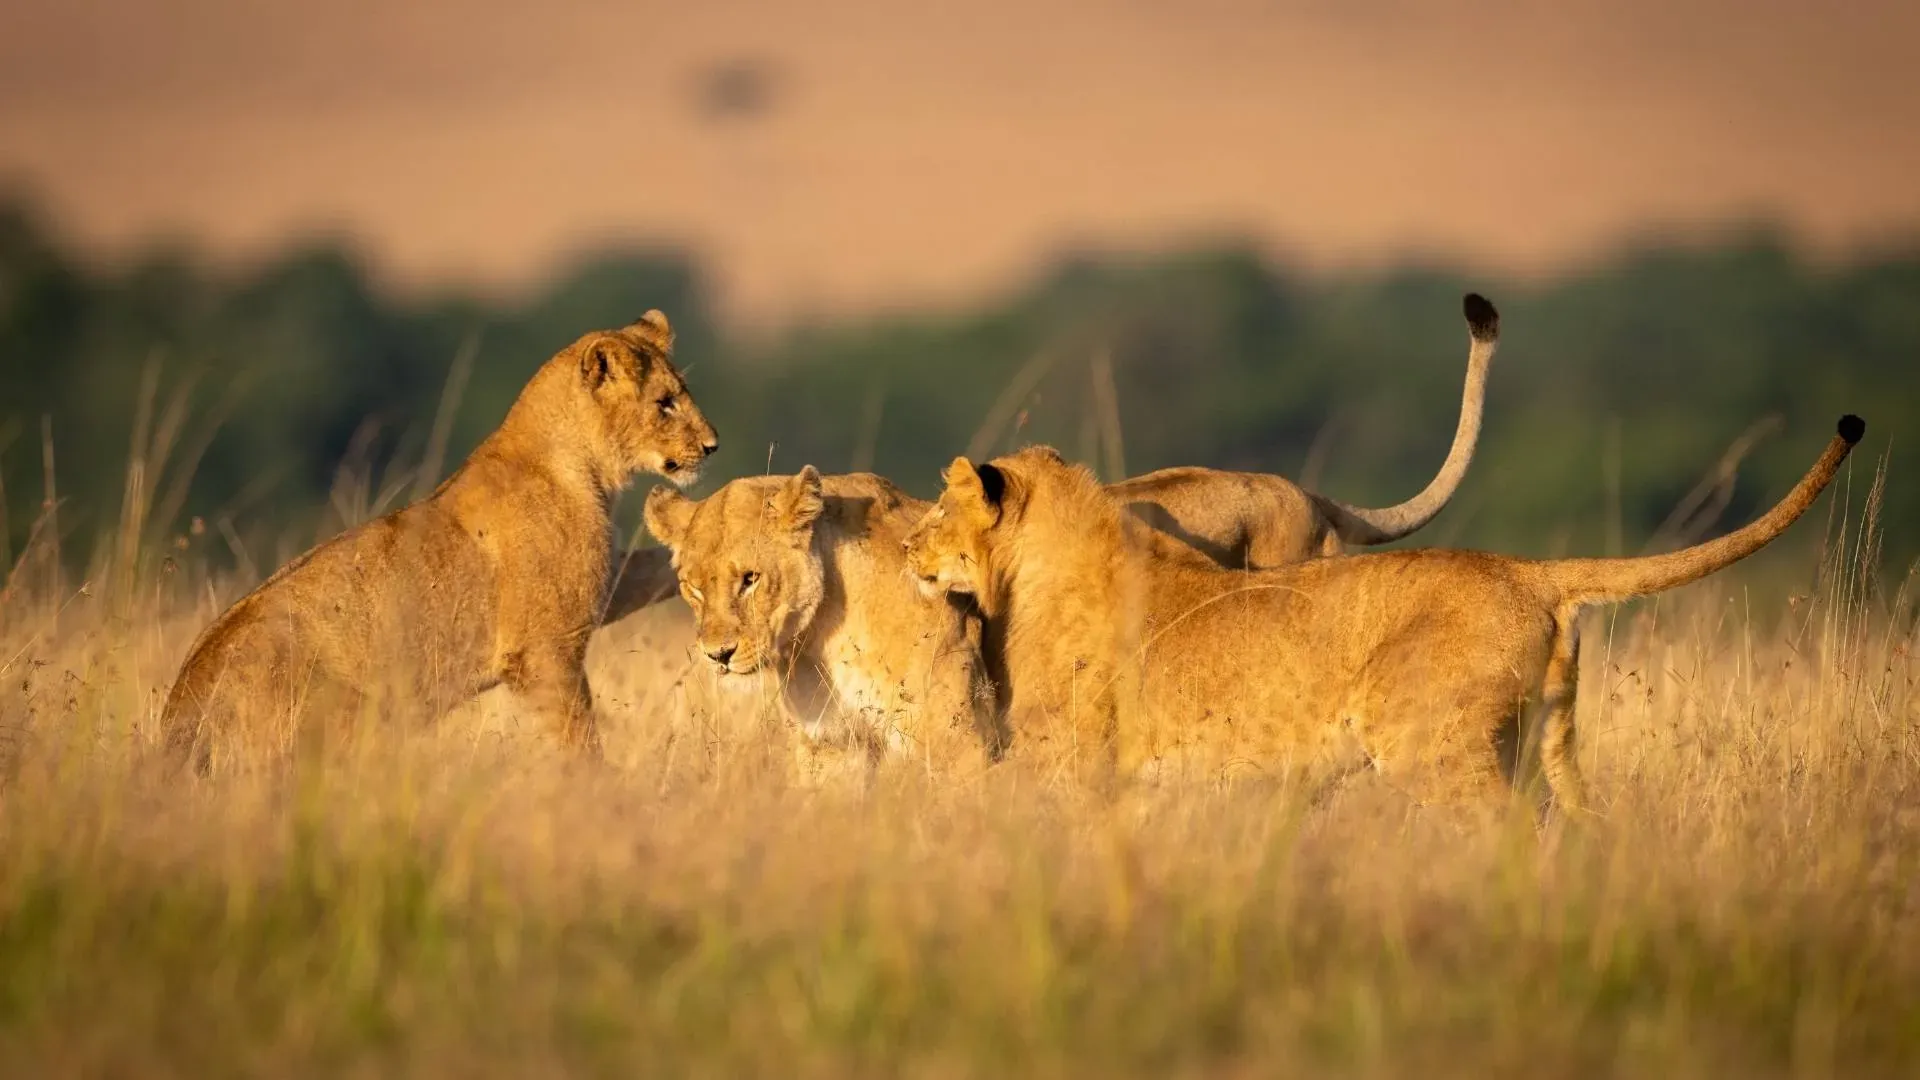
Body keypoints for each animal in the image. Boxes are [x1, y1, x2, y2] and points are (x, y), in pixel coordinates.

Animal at [159, 311, 719, 771]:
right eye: (665, 404)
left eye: (683, 393)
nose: (713, 446)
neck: (587, 468)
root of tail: (178, 713)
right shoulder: (543, 648)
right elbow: (578, 739)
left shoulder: (596, 588)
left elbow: (657, 566)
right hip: (356, 715)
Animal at [641, 467, 1001, 773]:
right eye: (693, 588)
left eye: (750, 579)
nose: (718, 655)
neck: (821, 632)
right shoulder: (831, 742)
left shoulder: (955, 738)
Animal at [902, 416, 1865, 811]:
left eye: (938, 511)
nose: (908, 547)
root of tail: (1525, 571)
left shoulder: (1065, 761)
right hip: (1548, 746)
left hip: (1432, 746)